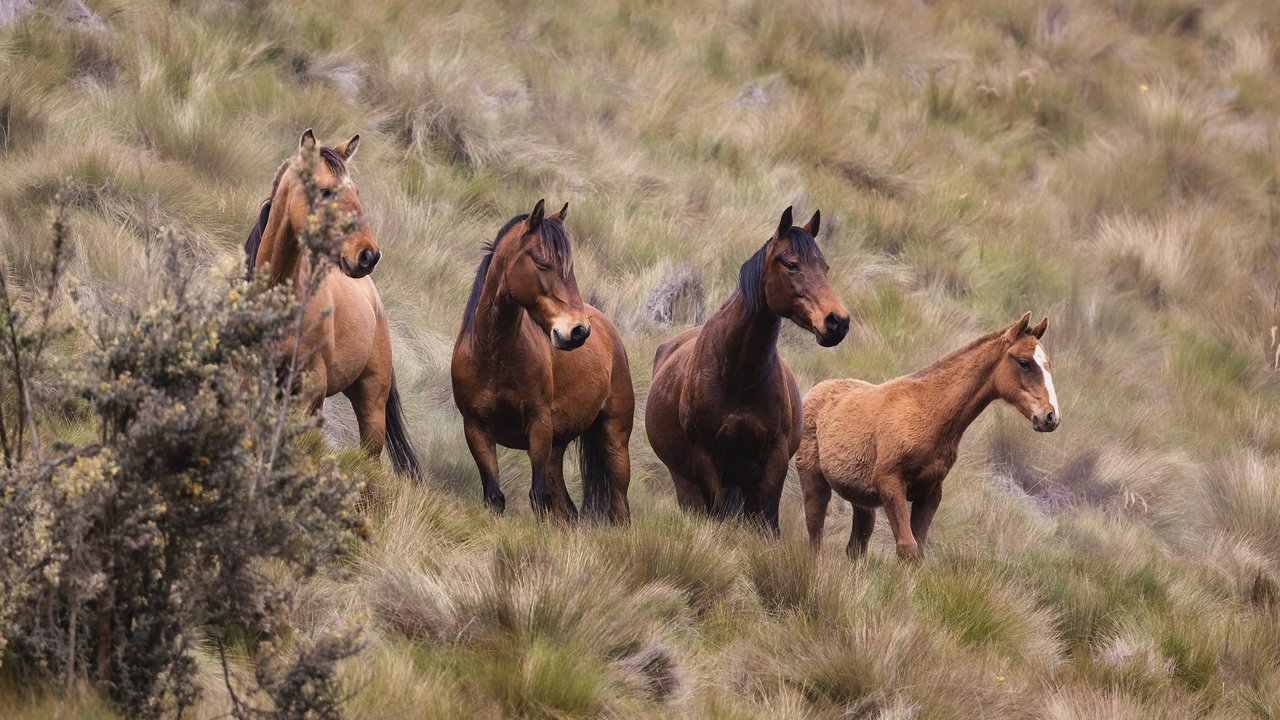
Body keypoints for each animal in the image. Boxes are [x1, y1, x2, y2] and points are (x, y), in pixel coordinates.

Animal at [450, 198, 634, 517]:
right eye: (542, 263)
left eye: (569, 268)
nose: (578, 331)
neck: (493, 356)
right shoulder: (476, 429)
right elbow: (495, 497)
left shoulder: (538, 425)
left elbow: (539, 496)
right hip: (555, 450)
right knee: (567, 510)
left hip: (615, 442)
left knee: (619, 508)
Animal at [650, 204, 849, 530]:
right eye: (792, 264)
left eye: (825, 268)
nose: (837, 322)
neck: (738, 374)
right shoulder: (705, 458)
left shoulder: (773, 460)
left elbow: (764, 520)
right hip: (686, 482)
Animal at [798, 312, 1059, 561]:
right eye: (1024, 363)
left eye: (1047, 365)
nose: (1051, 417)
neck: (928, 412)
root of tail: (814, 392)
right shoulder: (890, 484)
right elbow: (908, 548)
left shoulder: (930, 493)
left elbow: (919, 550)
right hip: (814, 482)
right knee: (815, 537)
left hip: (861, 499)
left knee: (855, 547)